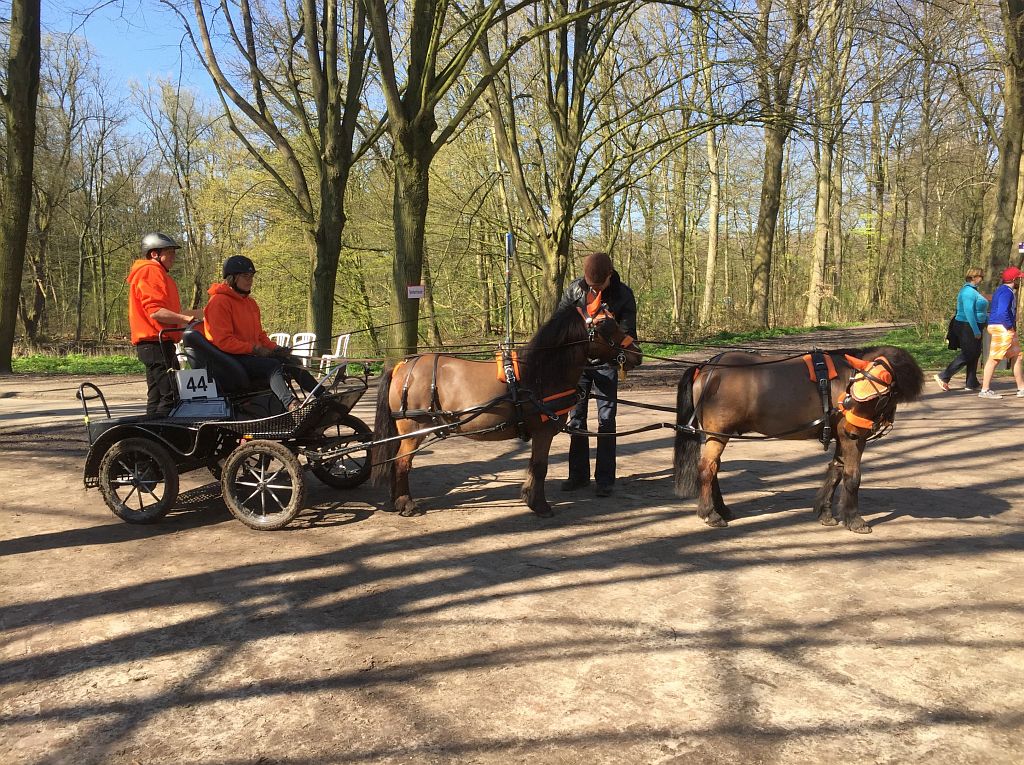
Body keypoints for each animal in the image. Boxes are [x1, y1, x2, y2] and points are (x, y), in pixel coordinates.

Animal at [368, 307, 638, 518]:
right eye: (605, 324)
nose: (636, 353)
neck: (539, 372)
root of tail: (402, 366)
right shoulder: (543, 431)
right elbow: (540, 466)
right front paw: (540, 505)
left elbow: (533, 465)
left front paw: (529, 498)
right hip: (413, 430)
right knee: (402, 463)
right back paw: (406, 504)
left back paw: (397, 501)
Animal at [675, 346, 925, 532]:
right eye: (859, 387)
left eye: (881, 394)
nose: (850, 424)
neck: (843, 386)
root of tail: (708, 367)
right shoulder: (851, 438)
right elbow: (852, 477)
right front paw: (854, 519)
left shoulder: (843, 436)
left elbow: (836, 471)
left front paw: (824, 512)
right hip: (717, 433)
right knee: (707, 468)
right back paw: (710, 513)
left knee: (714, 468)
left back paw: (722, 509)